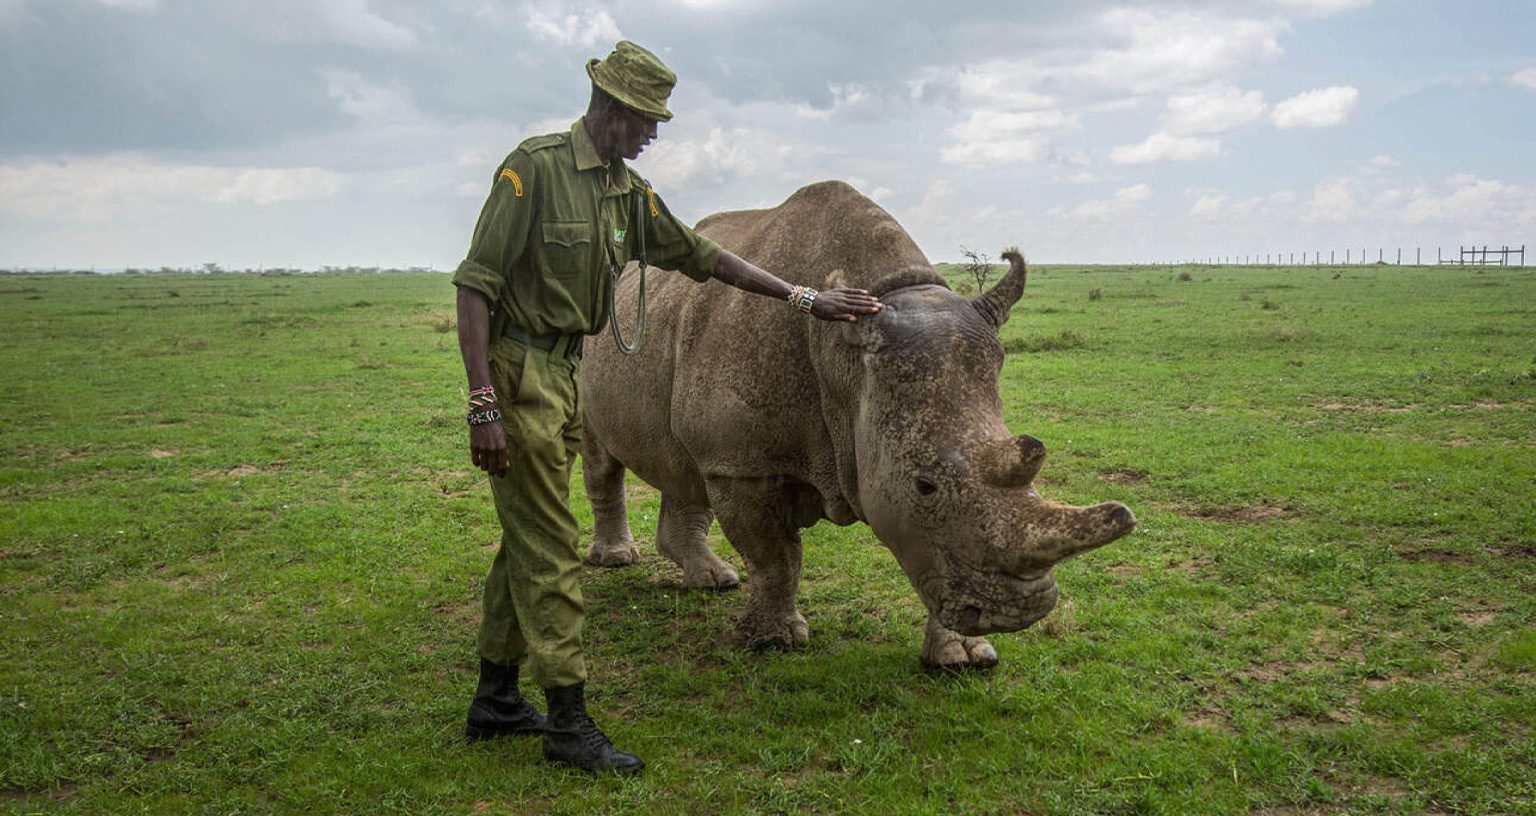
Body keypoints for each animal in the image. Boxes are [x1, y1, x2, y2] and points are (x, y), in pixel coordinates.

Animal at [580, 180, 1135, 670]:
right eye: (925, 486)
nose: (1018, 612)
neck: (844, 362)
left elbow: (934, 556)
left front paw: (963, 657)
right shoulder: (744, 463)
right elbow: (776, 557)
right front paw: (774, 642)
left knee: (683, 465)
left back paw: (715, 580)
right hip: (596, 337)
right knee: (601, 457)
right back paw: (618, 560)